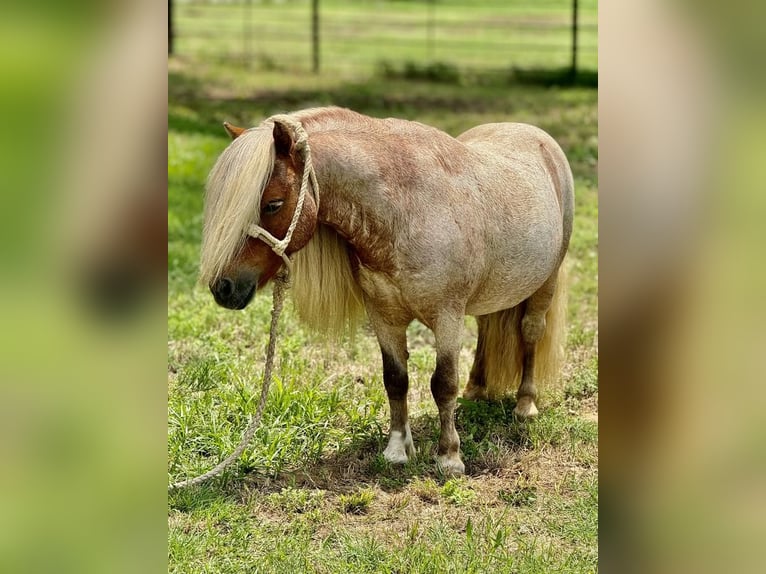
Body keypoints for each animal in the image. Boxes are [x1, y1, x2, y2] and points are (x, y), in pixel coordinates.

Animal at [201, 108, 572, 476]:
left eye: (273, 204)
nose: (223, 288)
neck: (406, 209)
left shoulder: (447, 317)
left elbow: (443, 383)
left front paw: (449, 457)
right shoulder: (383, 316)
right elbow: (395, 379)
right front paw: (397, 450)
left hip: (546, 283)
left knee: (530, 333)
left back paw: (525, 404)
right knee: (485, 328)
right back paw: (476, 389)